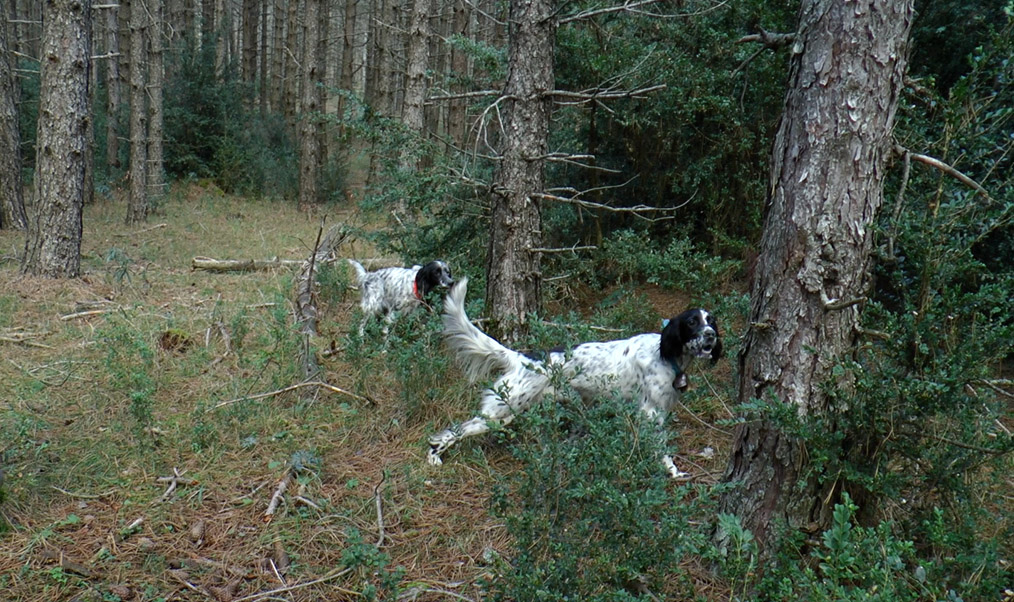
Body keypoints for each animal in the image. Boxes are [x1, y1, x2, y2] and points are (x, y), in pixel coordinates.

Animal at [425, 275, 721, 478]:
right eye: (692, 322)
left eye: (712, 321)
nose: (711, 336)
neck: (665, 354)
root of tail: (522, 358)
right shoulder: (651, 413)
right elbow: (662, 449)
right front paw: (673, 472)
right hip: (501, 411)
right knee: (454, 430)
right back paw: (434, 456)